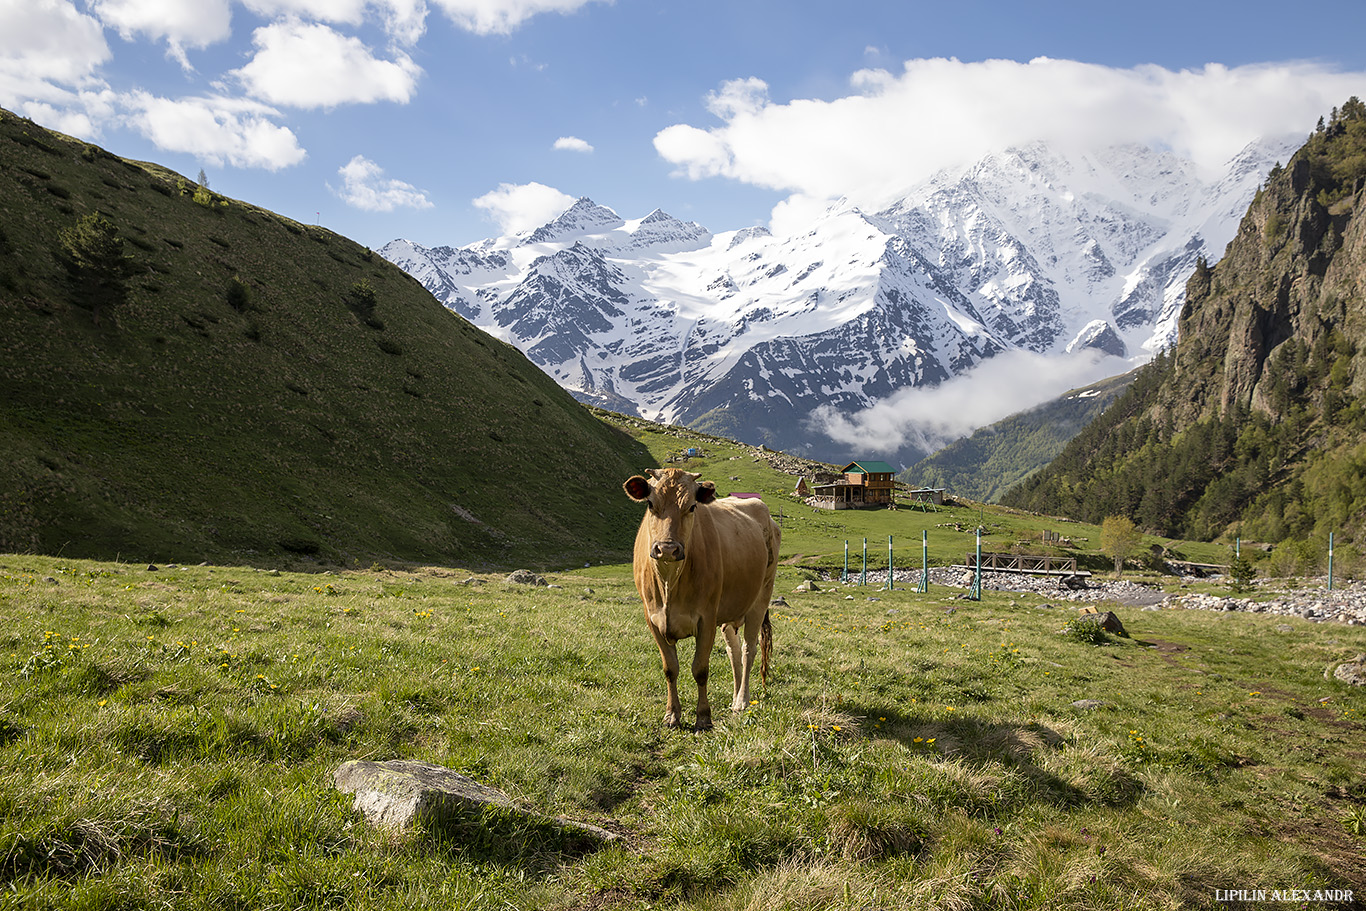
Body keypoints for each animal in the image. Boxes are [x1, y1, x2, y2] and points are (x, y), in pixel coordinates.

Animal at [622, 469, 775, 732]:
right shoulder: (652, 619)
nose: (667, 548)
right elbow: (670, 669)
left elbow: (700, 669)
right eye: (650, 504)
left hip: (762, 595)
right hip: (730, 611)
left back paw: (742, 701)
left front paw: (703, 717)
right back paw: (734, 698)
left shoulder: (707, 617)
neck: (669, 582)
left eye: (692, 506)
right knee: (733, 650)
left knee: (748, 649)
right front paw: (671, 715)